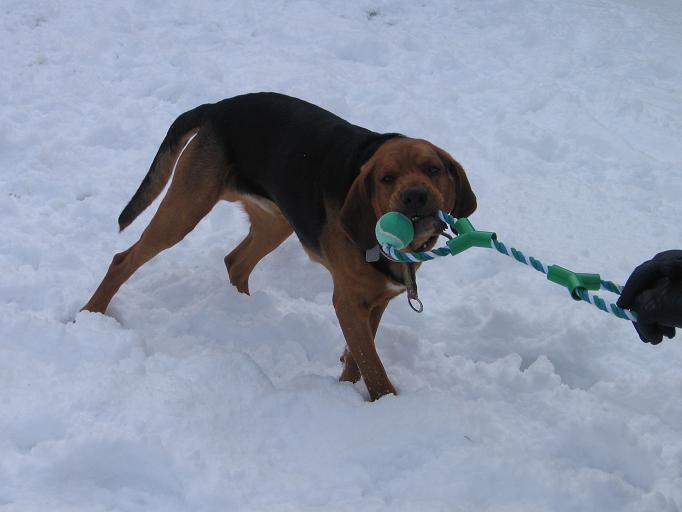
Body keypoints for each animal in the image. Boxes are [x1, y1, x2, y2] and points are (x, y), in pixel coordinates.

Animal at [82, 94, 476, 402]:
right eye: (387, 179)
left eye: (433, 168)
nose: (416, 196)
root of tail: (217, 108)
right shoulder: (348, 300)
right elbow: (373, 366)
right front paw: (385, 405)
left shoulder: (375, 301)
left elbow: (358, 356)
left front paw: (347, 387)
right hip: (185, 211)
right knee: (123, 259)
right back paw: (90, 314)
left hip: (276, 222)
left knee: (235, 262)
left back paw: (243, 309)